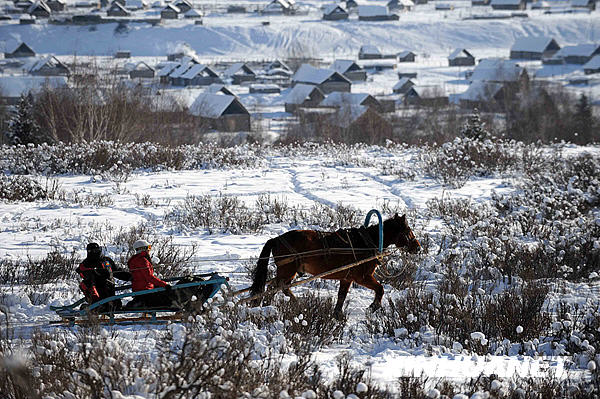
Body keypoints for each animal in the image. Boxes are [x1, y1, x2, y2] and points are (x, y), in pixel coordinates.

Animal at [248, 214, 422, 320]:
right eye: (408, 230)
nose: (418, 247)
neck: (366, 242)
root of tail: (276, 239)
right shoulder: (362, 277)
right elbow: (380, 288)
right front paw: (373, 307)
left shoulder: (347, 278)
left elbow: (341, 296)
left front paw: (337, 315)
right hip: (288, 270)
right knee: (279, 286)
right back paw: (293, 304)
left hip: (287, 271)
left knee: (275, 286)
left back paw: (270, 306)